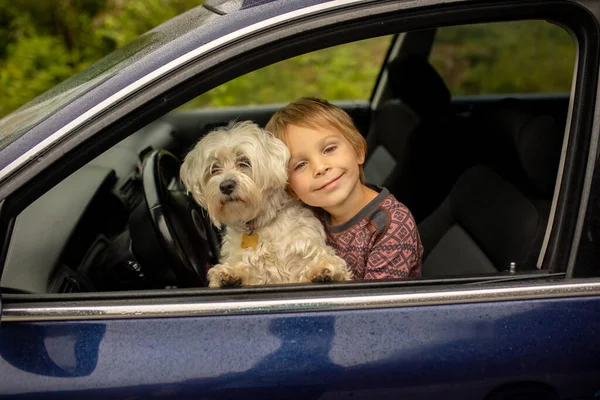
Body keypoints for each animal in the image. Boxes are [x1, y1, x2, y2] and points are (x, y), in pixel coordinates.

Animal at [182, 120, 352, 286]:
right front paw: (230, 274)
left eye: (244, 161)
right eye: (214, 169)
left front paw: (323, 269)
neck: (259, 223)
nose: (225, 186)